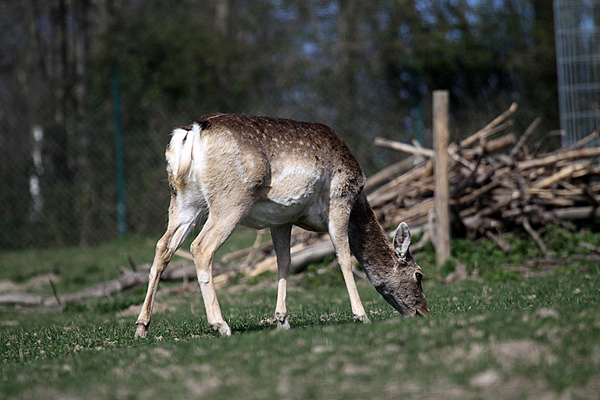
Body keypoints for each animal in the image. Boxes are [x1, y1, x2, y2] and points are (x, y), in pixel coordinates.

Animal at [134, 112, 428, 338]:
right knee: (201, 247)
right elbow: (344, 257)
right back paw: (220, 325)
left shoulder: (282, 220)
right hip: (231, 198)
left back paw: (142, 326)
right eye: (419, 275)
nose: (423, 311)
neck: (359, 200)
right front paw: (361, 315)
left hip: (184, 201)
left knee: (163, 247)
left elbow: (284, 262)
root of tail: (191, 133)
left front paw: (282, 319)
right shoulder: (340, 199)